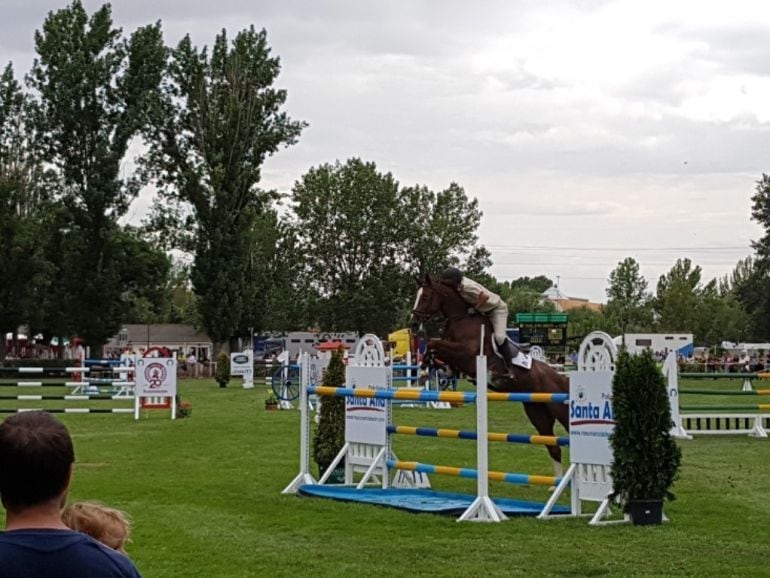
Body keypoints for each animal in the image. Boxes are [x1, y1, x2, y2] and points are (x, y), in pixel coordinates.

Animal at [408, 274, 568, 476]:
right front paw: (425, 372)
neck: (461, 319)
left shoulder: (467, 355)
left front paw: (423, 373)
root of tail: (560, 377)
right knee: (553, 446)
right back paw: (557, 481)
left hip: (558, 409)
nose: (413, 324)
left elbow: (433, 343)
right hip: (537, 412)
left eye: (426, 297)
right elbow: (435, 351)